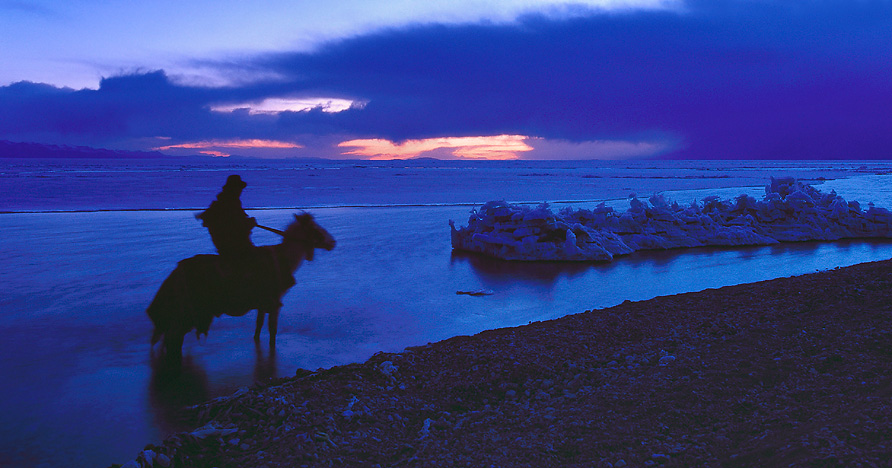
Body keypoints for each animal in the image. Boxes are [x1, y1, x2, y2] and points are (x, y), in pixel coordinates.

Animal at [146, 213, 334, 362]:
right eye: (316, 230)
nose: (333, 242)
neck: (285, 259)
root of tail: (177, 272)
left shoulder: (263, 304)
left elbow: (258, 326)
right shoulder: (275, 303)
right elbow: (272, 331)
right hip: (185, 311)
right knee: (172, 338)